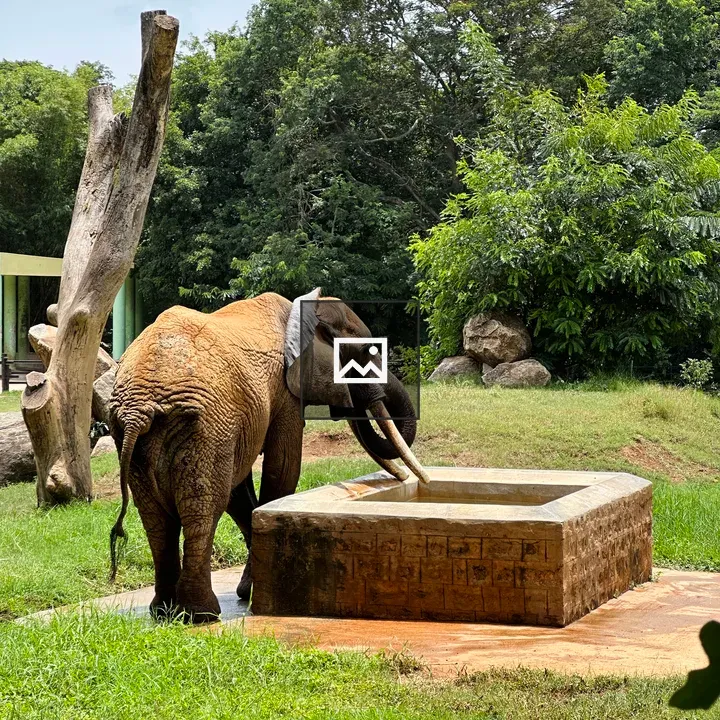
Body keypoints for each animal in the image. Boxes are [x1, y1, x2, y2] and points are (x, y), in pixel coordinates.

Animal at [108, 288, 426, 622]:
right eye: (364, 351)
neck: (303, 310)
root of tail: (138, 410)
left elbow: (239, 488)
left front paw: (247, 590)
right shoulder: (281, 395)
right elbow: (282, 469)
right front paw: (250, 590)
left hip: (140, 435)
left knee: (156, 517)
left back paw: (165, 612)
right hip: (201, 426)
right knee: (202, 508)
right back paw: (201, 615)